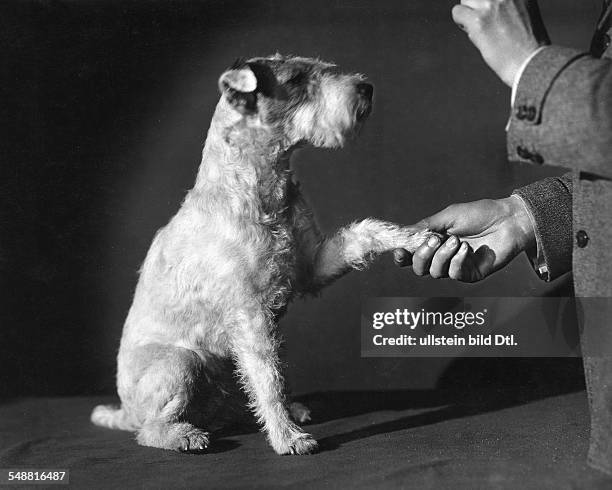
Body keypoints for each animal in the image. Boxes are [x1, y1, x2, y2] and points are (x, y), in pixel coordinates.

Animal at [92, 55, 436, 458]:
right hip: (181, 363)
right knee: (149, 428)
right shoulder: (250, 313)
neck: (258, 184)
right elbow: (269, 377)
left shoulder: (309, 266)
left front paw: (416, 238)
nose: (366, 88)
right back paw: (186, 435)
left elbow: (365, 231)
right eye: (298, 78)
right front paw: (288, 439)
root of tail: (124, 411)